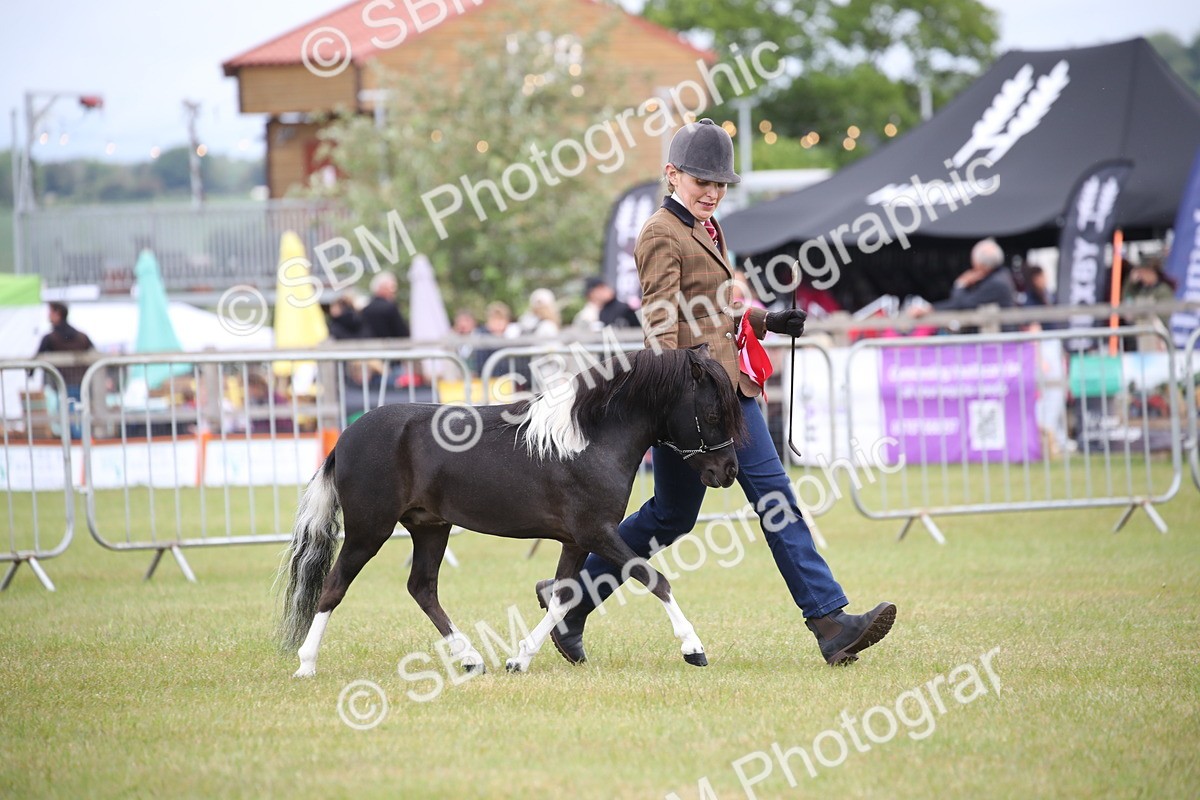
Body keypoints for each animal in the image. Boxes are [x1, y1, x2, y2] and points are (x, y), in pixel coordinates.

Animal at [279, 345, 745, 677]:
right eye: (712, 412)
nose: (728, 472)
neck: (589, 439)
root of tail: (345, 437)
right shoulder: (596, 531)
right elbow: (654, 578)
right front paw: (693, 648)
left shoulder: (576, 540)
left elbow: (562, 596)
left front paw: (519, 659)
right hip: (368, 530)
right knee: (334, 586)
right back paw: (306, 664)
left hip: (430, 527)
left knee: (422, 588)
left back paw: (470, 658)